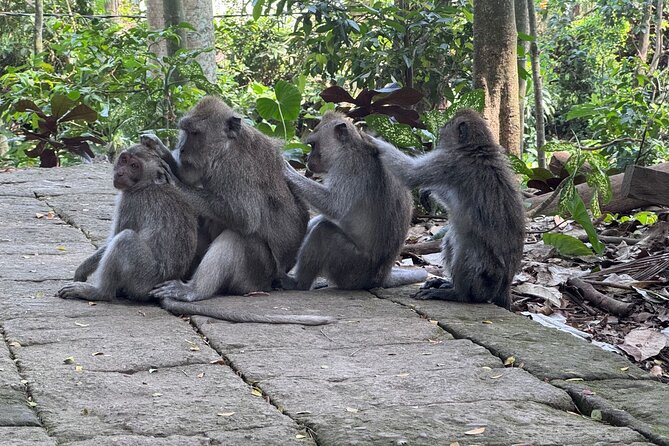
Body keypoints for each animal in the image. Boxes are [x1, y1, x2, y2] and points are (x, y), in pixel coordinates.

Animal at [57, 143, 333, 325]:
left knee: (125, 240)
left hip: (143, 276)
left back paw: (99, 293)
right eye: (124, 160)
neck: (147, 183)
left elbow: (115, 236)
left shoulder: (130, 201)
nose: (121, 173)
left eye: (135, 166)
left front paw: (83, 272)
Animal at [140, 96, 310, 303]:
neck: (225, 149)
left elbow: (245, 217)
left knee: (238, 237)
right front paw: (158, 147)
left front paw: (176, 184)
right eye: (185, 131)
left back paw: (194, 290)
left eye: (195, 133)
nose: (181, 149)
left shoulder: (236, 168)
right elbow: (187, 175)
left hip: (256, 275)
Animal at [281, 111, 428, 290]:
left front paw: (289, 172)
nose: (308, 159)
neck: (349, 147)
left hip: (352, 268)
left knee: (323, 231)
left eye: (313, 145)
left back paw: (297, 284)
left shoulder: (349, 166)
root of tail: (380, 278)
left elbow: (334, 206)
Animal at [374, 109, 525, 309]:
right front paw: (428, 191)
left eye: (444, 131)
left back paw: (458, 294)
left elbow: (410, 174)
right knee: (452, 239)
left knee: (467, 245)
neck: (477, 148)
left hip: (488, 278)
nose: (438, 141)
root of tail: (505, 287)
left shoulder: (450, 162)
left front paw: (371, 138)